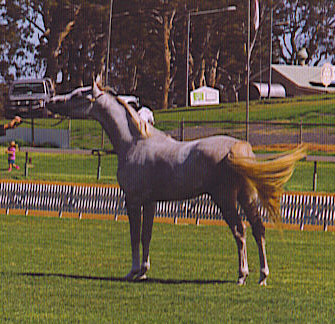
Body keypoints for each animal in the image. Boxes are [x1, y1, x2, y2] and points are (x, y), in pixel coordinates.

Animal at [48, 81, 306, 286]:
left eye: (78, 95)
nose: (51, 102)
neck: (134, 142)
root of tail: (239, 148)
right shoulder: (150, 202)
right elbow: (146, 235)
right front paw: (143, 272)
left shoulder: (133, 200)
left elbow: (134, 235)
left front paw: (132, 272)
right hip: (247, 197)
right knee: (258, 230)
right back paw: (262, 276)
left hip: (225, 199)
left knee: (240, 232)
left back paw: (242, 275)